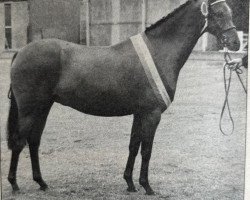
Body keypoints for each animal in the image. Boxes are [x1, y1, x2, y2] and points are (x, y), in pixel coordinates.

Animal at [6, 0, 239, 195]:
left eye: (230, 11)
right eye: (219, 13)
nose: (236, 43)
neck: (159, 51)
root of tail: (20, 52)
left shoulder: (140, 113)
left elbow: (134, 146)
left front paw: (130, 183)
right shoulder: (152, 114)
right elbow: (147, 150)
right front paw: (147, 186)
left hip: (43, 107)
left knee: (33, 141)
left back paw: (41, 182)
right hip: (29, 110)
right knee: (19, 142)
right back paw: (14, 185)